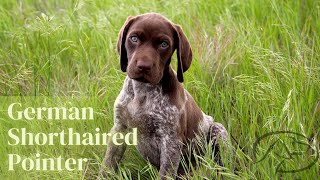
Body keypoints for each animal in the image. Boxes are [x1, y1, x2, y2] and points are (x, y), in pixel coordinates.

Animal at [102, 13, 228, 180]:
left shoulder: (170, 142)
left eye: (163, 44)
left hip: (218, 130)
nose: (143, 66)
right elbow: (108, 163)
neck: (143, 92)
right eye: (133, 38)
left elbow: (165, 174)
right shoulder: (119, 128)